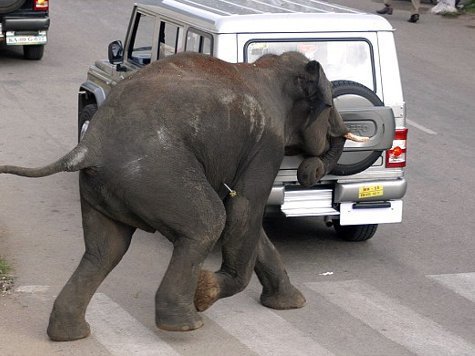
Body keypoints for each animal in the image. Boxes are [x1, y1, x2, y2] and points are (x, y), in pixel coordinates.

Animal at [0, 51, 364, 340]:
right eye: (329, 105)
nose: (308, 172)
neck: (265, 67)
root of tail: (89, 146)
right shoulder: (266, 145)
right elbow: (244, 209)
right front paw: (204, 294)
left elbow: (244, 218)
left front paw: (291, 305)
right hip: (158, 175)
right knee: (208, 222)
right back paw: (185, 323)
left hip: (101, 189)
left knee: (104, 250)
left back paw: (69, 334)